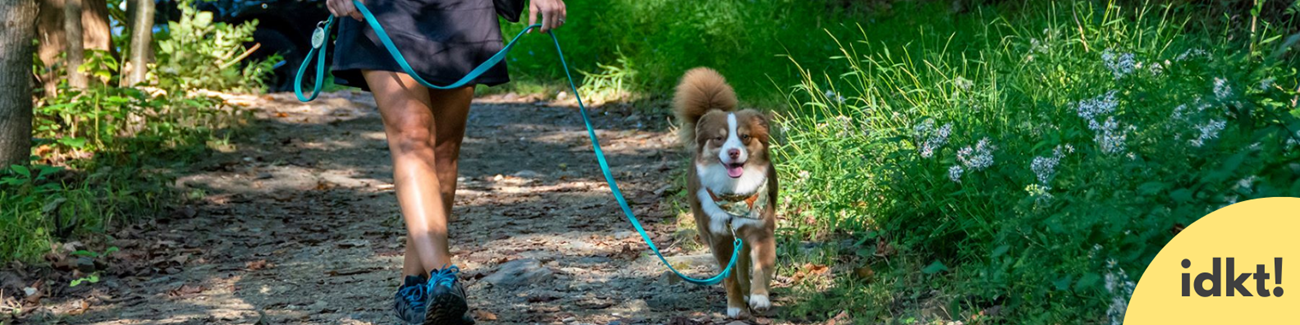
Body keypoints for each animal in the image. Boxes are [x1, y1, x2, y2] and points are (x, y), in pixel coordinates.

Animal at [676, 67, 774, 318]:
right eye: (719, 139)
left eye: (745, 136)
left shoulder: (761, 229)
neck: (735, 193)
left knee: (742, 259)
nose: (733, 152)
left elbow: (761, 266)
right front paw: (736, 307)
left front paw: (760, 297)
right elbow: (729, 277)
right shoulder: (718, 236)